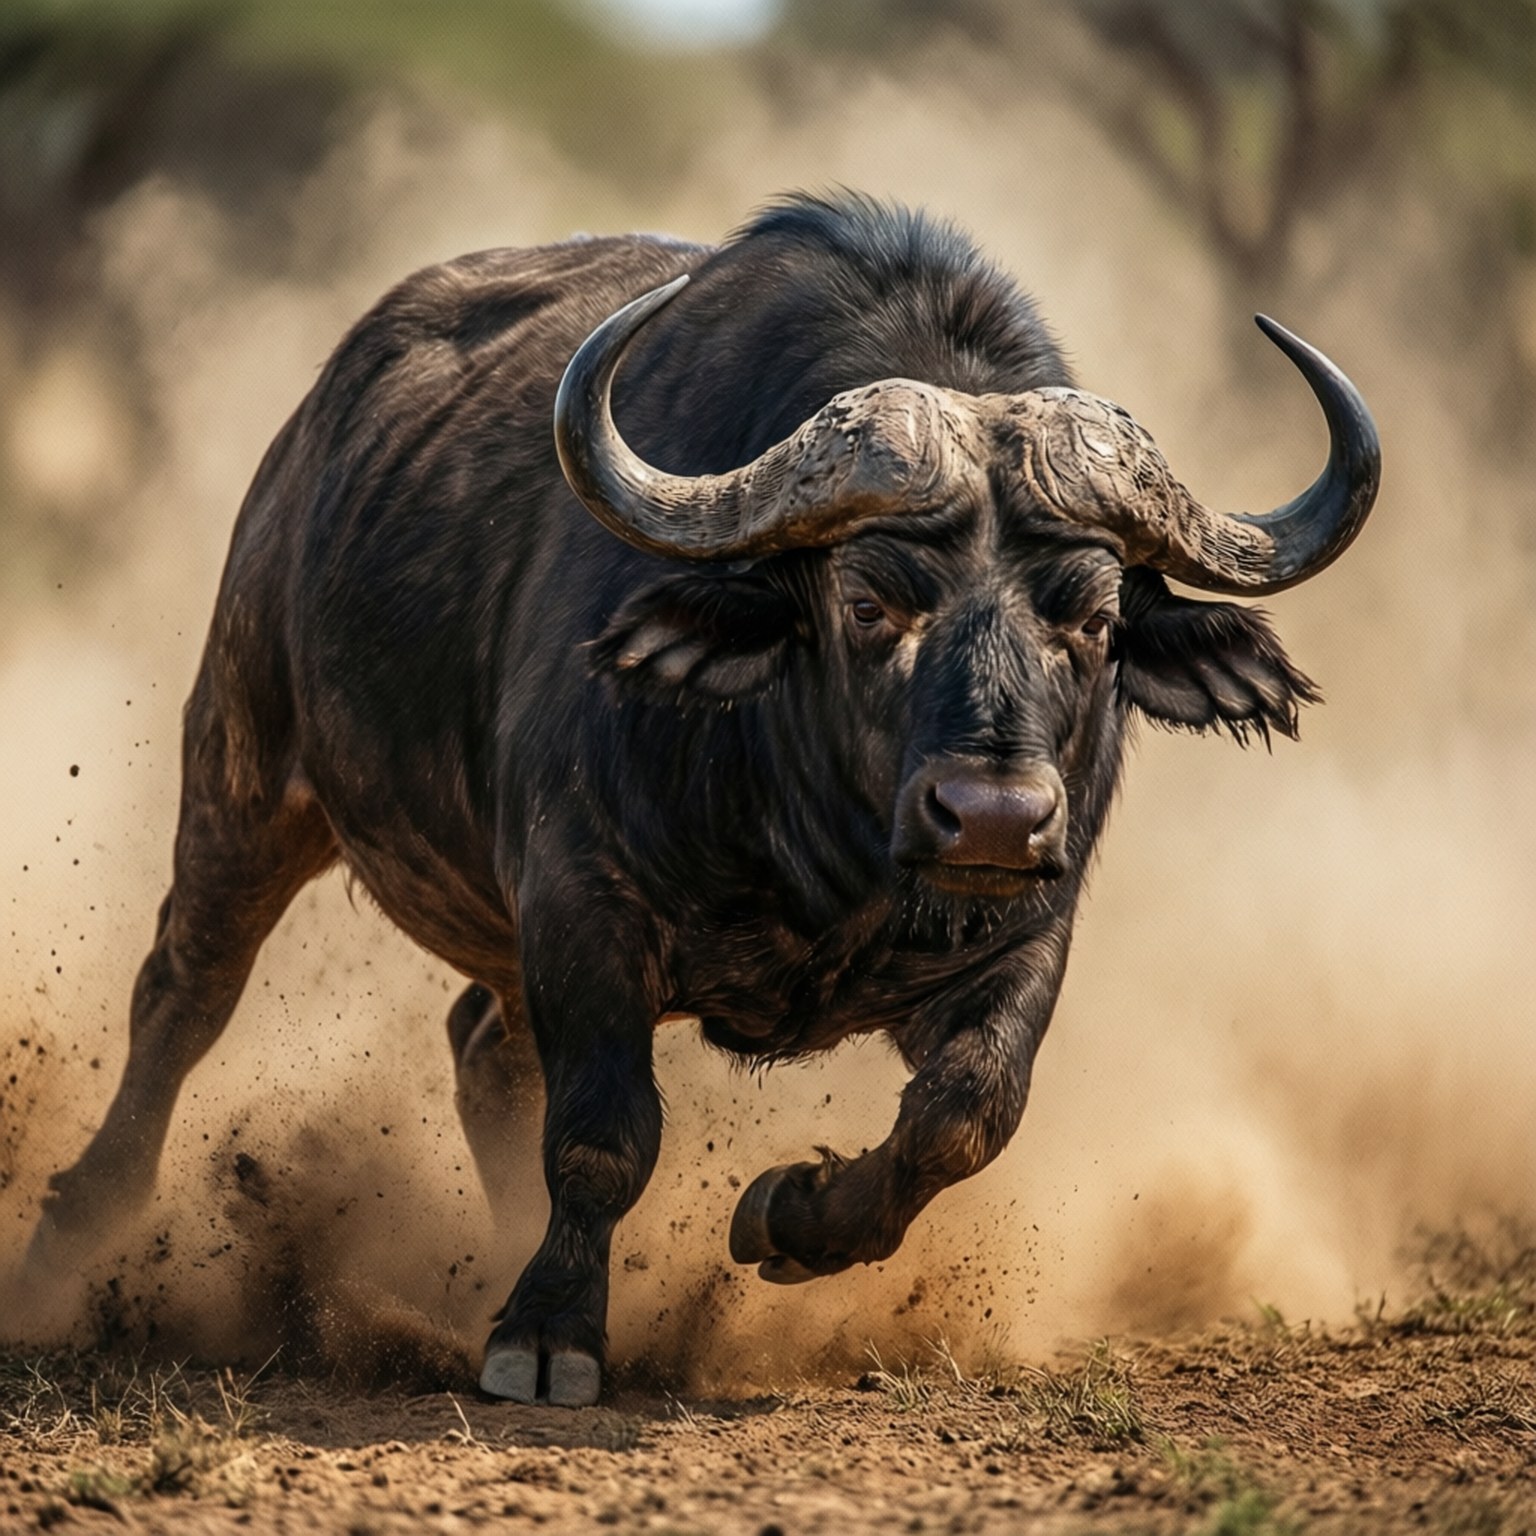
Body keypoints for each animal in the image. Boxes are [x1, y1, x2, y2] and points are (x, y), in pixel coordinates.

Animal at [27, 193, 1379, 1406]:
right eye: (869, 602)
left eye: (1093, 620)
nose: (990, 816)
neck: (822, 846)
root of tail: (319, 421)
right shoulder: (582, 899)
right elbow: (605, 1131)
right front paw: (549, 1333)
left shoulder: (1024, 934)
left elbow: (965, 1113)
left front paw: (791, 1216)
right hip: (247, 770)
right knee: (184, 994)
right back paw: (74, 1236)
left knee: (481, 1052)